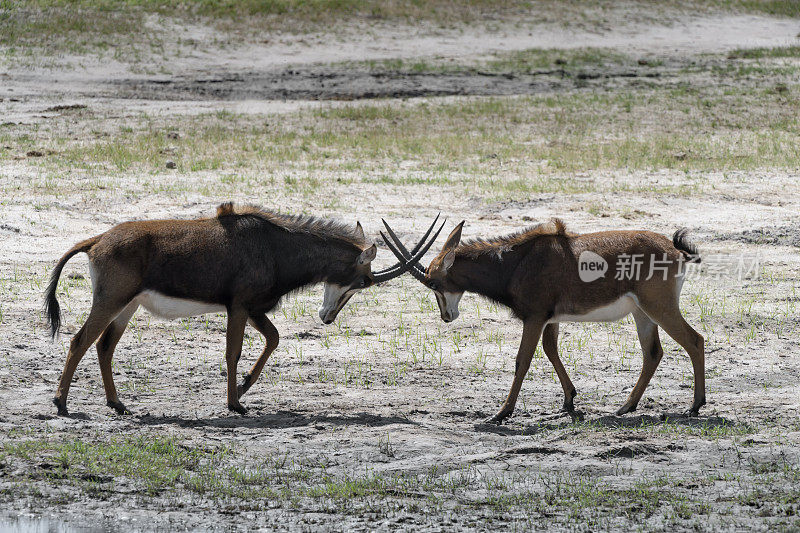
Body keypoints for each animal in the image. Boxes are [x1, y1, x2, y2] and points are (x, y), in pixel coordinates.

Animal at [45, 204, 444, 416]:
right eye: (363, 281)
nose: (327, 317)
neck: (275, 245)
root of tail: (98, 240)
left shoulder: (253, 308)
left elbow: (274, 338)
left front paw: (244, 386)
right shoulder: (238, 306)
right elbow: (233, 351)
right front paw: (235, 403)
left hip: (127, 306)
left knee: (104, 346)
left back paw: (117, 404)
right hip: (111, 300)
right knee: (80, 341)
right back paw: (61, 403)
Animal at [380, 218, 700, 422]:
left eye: (433, 283)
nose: (446, 316)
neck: (516, 263)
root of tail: (675, 249)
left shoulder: (533, 318)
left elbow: (523, 360)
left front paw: (502, 413)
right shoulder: (550, 319)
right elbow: (550, 350)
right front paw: (569, 401)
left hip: (658, 307)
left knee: (694, 341)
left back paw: (695, 406)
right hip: (642, 313)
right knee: (653, 353)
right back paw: (626, 407)